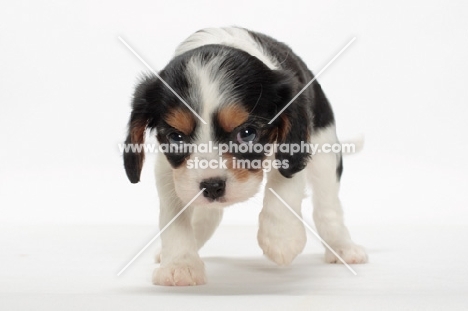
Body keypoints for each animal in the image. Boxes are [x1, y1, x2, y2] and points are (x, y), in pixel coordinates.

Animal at [122, 27, 368, 288]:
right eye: (176, 137)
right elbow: (174, 216)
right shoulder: (168, 170)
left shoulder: (294, 147)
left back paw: (343, 248)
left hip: (325, 148)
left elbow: (285, 184)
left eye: (247, 133)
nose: (212, 186)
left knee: (327, 205)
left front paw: (281, 238)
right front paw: (179, 264)